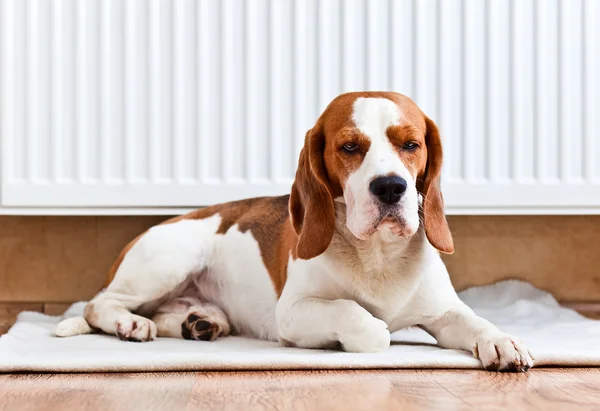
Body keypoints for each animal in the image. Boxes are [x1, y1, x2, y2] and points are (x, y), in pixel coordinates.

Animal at [56, 91, 532, 374]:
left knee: (167, 313)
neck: (378, 256)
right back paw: (131, 324)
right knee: (99, 305)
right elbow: (362, 320)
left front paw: (502, 341)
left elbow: (475, 322)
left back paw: (200, 323)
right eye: (349, 147)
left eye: (410, 145)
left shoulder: (445, 311)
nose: (390, 187)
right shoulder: (295, 312)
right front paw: (363, 335)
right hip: (169, 259)